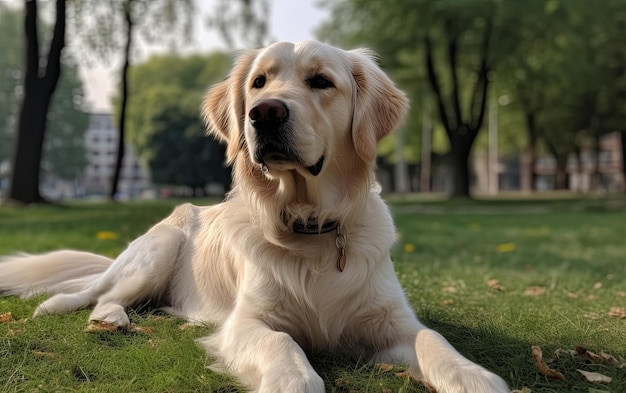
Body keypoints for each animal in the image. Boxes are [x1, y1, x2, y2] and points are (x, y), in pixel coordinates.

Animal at [0, 41, 508, 390]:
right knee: (97, 293)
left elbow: (433, 340)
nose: (264, 113)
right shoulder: (248, 322)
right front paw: (292, 380)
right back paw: (88, 312)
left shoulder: (391, 319)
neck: (310, 224)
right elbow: (282, 345)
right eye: (259, 82)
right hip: (158, 249)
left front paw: (473, 375)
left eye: (321, 81)